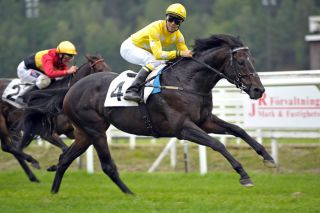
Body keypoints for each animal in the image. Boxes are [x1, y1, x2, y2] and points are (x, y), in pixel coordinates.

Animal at [27, 35, 276, 195]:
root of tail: (71, 89)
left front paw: (268, 157)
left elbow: (238, 129)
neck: (187, 82)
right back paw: (131, 195)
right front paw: (244, 175)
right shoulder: (183, 128)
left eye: (253, 61)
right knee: (107, 166)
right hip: (95, 130)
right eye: (241, 62)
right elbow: (218, 144)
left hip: (84, 134)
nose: (259, 90)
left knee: (64, 159)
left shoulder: (205, 121)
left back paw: (54, 193)